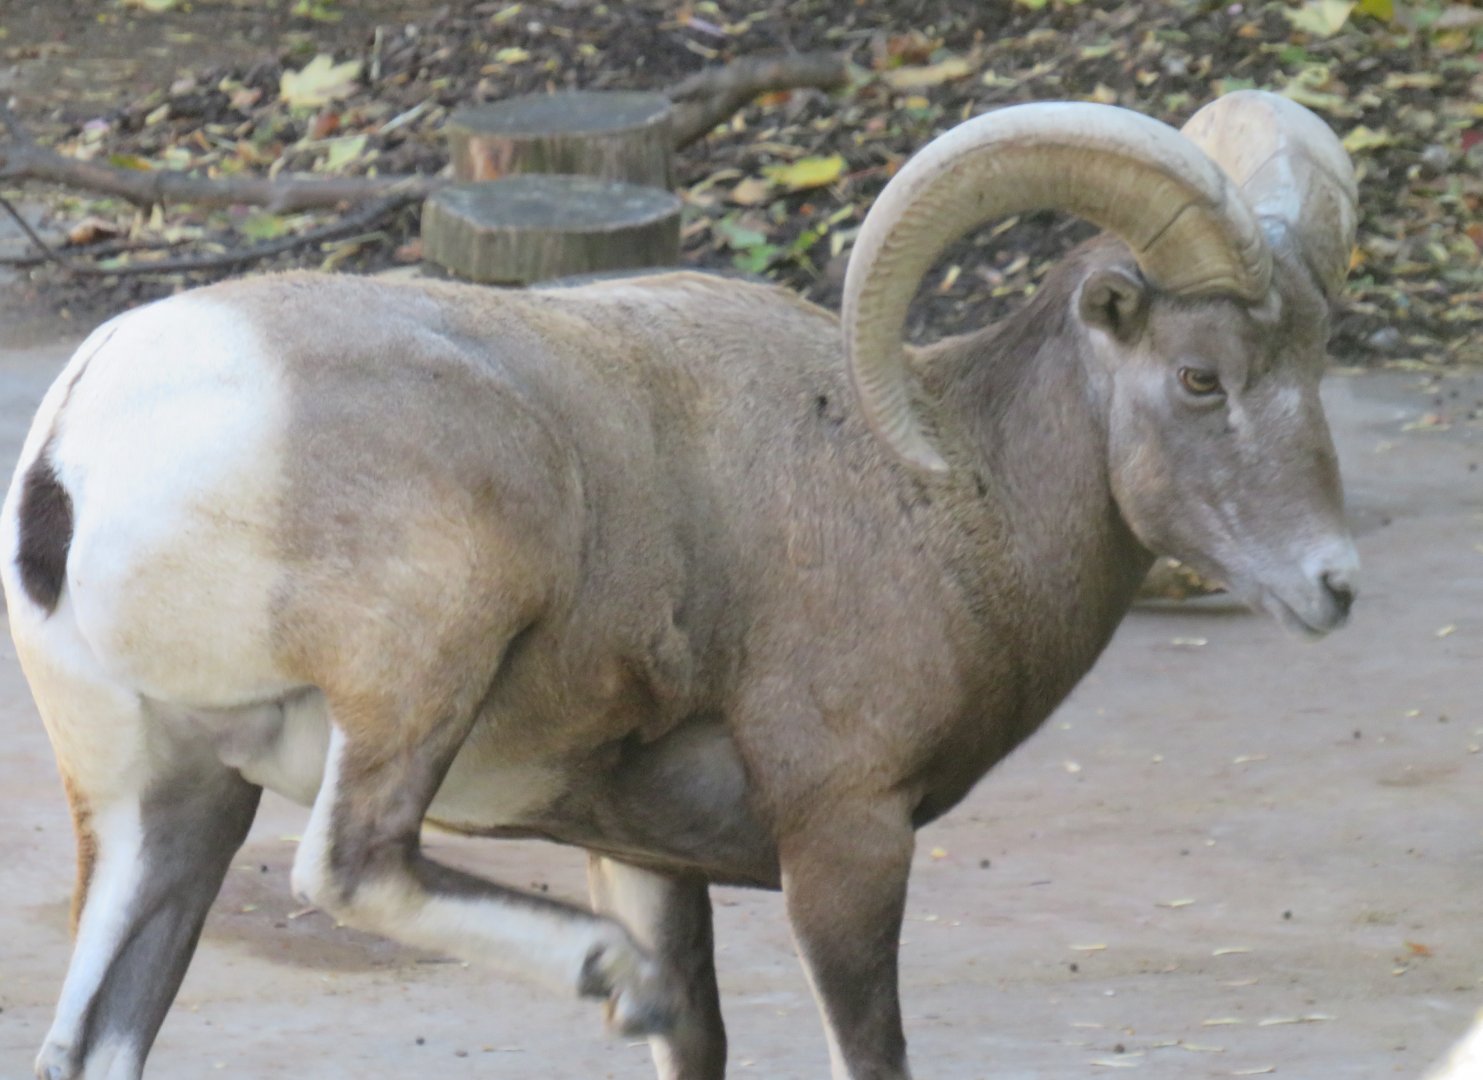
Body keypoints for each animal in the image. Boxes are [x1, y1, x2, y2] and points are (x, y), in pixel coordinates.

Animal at [3, 89, 1360, 1080]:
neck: (951, 497)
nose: (1333, 584)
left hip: (168, 802)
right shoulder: (848, 842)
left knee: (96, 1036)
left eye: (1314, 360)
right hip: (421, 667)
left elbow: (697, 1043)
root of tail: (83, 442)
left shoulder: (644, 859)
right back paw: (606, 975)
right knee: (350, 867)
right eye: (1199, 377)